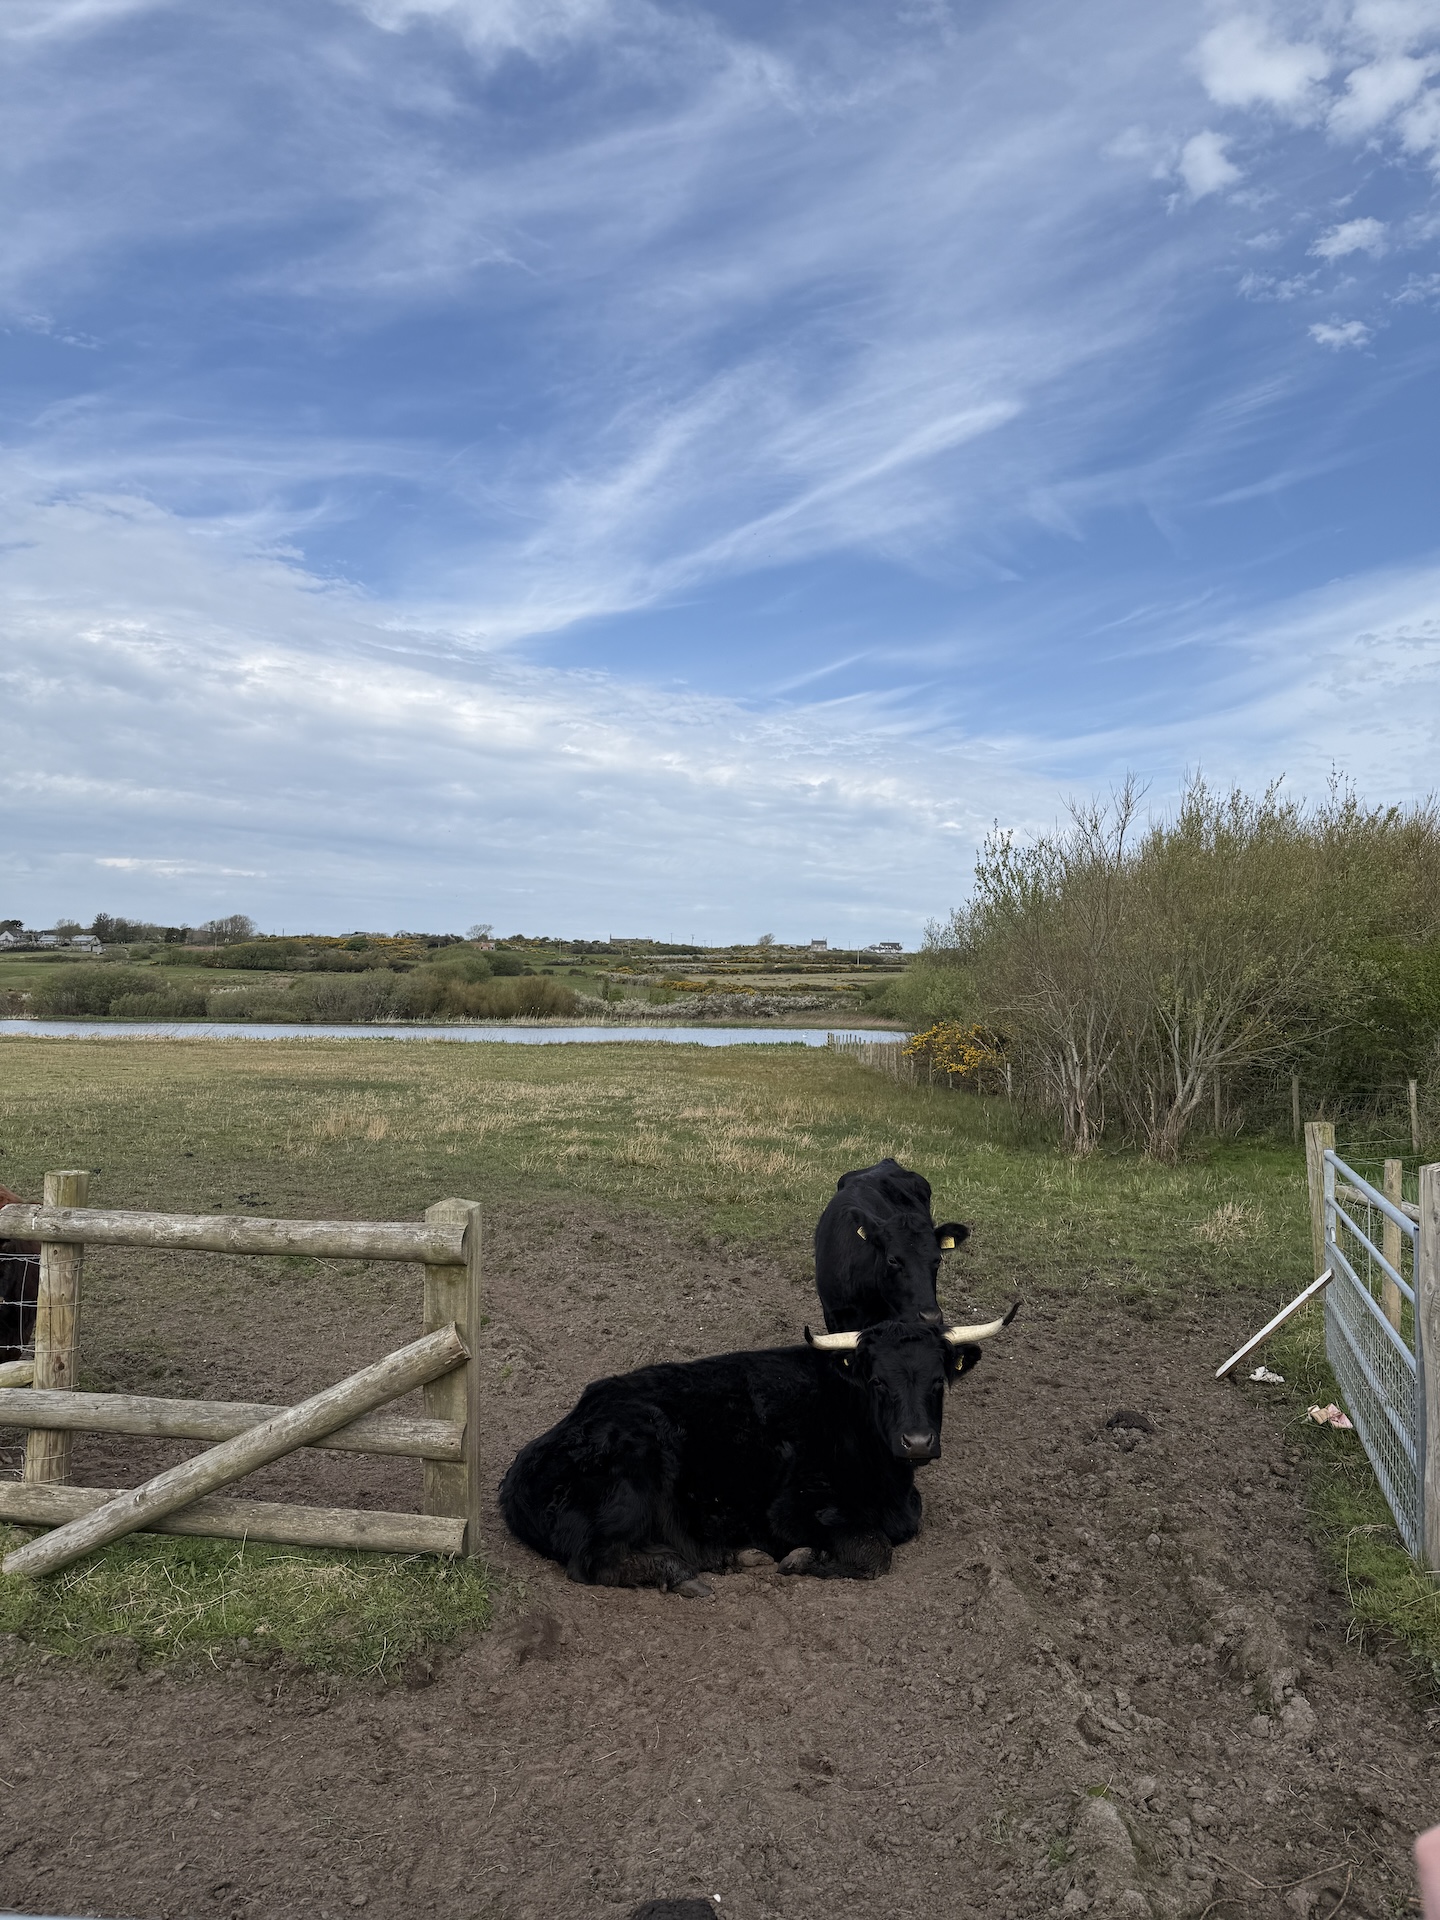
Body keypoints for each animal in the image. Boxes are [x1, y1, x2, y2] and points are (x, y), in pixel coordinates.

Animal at [498, 1306, 1016, 1597]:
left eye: (938, 1382)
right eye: (877, 1382)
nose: (917, 1442)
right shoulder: (790, 1510)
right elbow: (875, 1551)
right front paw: (804, 1560)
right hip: (634, 1475)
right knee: (594, 1561)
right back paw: (683, 1571)